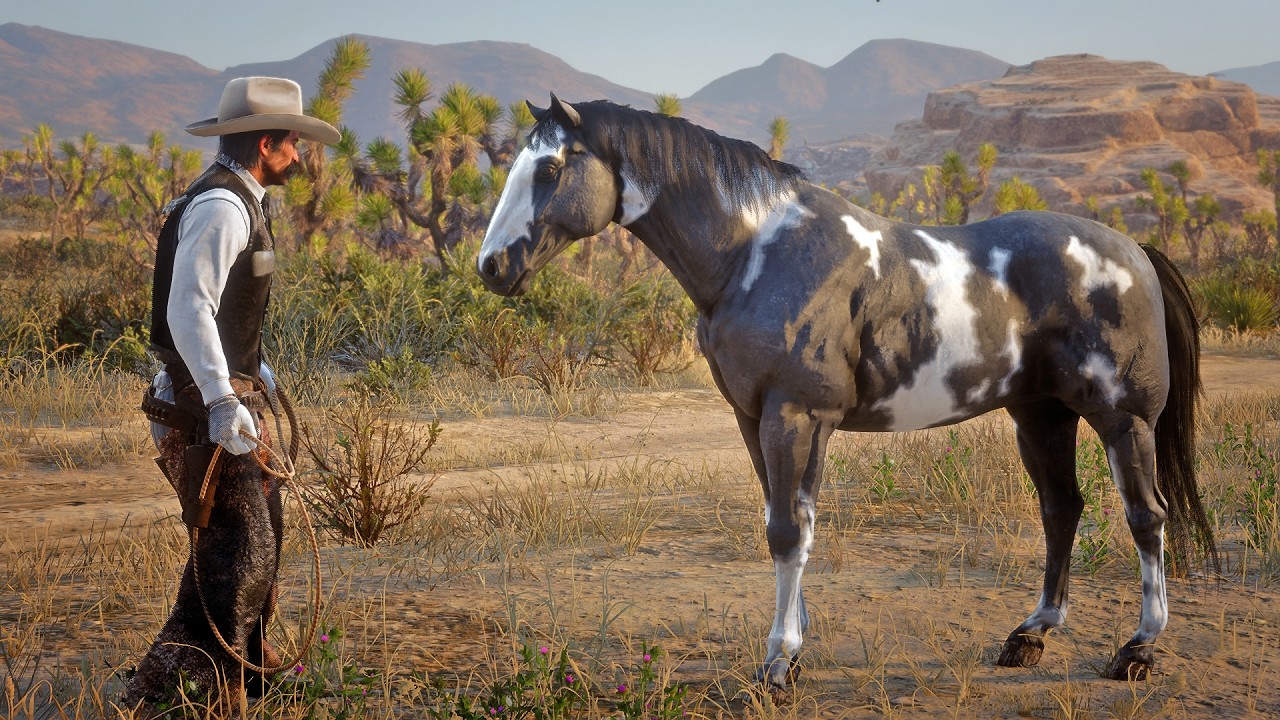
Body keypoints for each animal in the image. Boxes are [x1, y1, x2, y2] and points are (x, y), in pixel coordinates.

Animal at [476, 94, 1218, 688]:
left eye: (549, 169)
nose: (491, 267)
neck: (753, 254)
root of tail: (1134, 252)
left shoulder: (796, 415)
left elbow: (787, 532)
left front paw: (778, 663)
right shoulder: (756, 419)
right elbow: (783, 524)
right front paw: (792, 647)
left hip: (1121, 418)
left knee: (1146, 517)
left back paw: (1138, 649)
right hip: (1041, 417)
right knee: (1061, 510)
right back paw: (1030, 635)